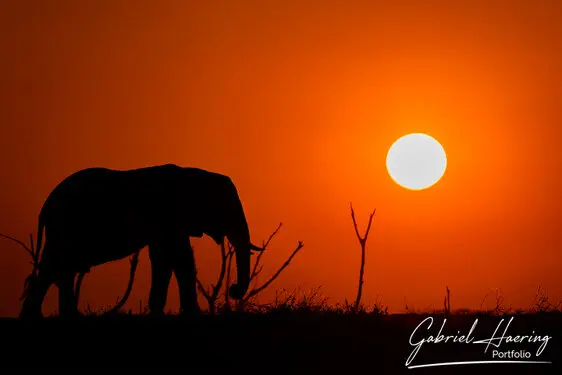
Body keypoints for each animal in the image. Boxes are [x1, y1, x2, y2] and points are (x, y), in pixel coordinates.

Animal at [18, 163, 262, 318]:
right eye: (226, 207)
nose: (233, 290)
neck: (194, 173)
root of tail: (46, 205)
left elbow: (164, 258)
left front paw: (157, 311)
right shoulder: (167, 215)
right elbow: (179, 258)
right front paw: (192, 314)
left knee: (60, 270)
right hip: (65, 227)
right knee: (55, 267)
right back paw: (39, 317)